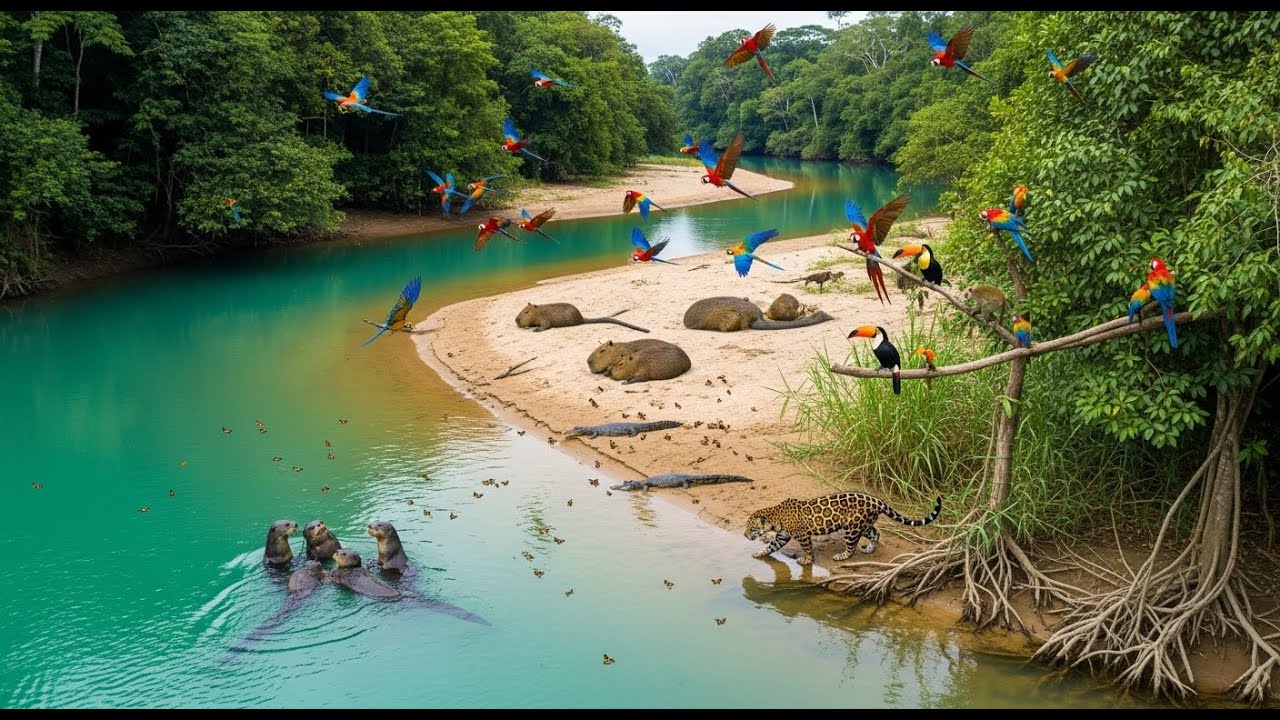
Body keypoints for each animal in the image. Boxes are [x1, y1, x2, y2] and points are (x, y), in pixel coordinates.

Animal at [744, 492, 942, 566]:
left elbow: (807, 548)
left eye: (751, 527)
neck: (775, 517)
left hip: (852, 528)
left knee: (851, 546)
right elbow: (771, 546)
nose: (745, 535)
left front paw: (807, 559)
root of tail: (876, 500)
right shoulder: (782, 536)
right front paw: (759, 553)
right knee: (876, 533)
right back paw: (869, 549)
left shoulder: (802, 534)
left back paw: (841, 556)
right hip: (864, 525)